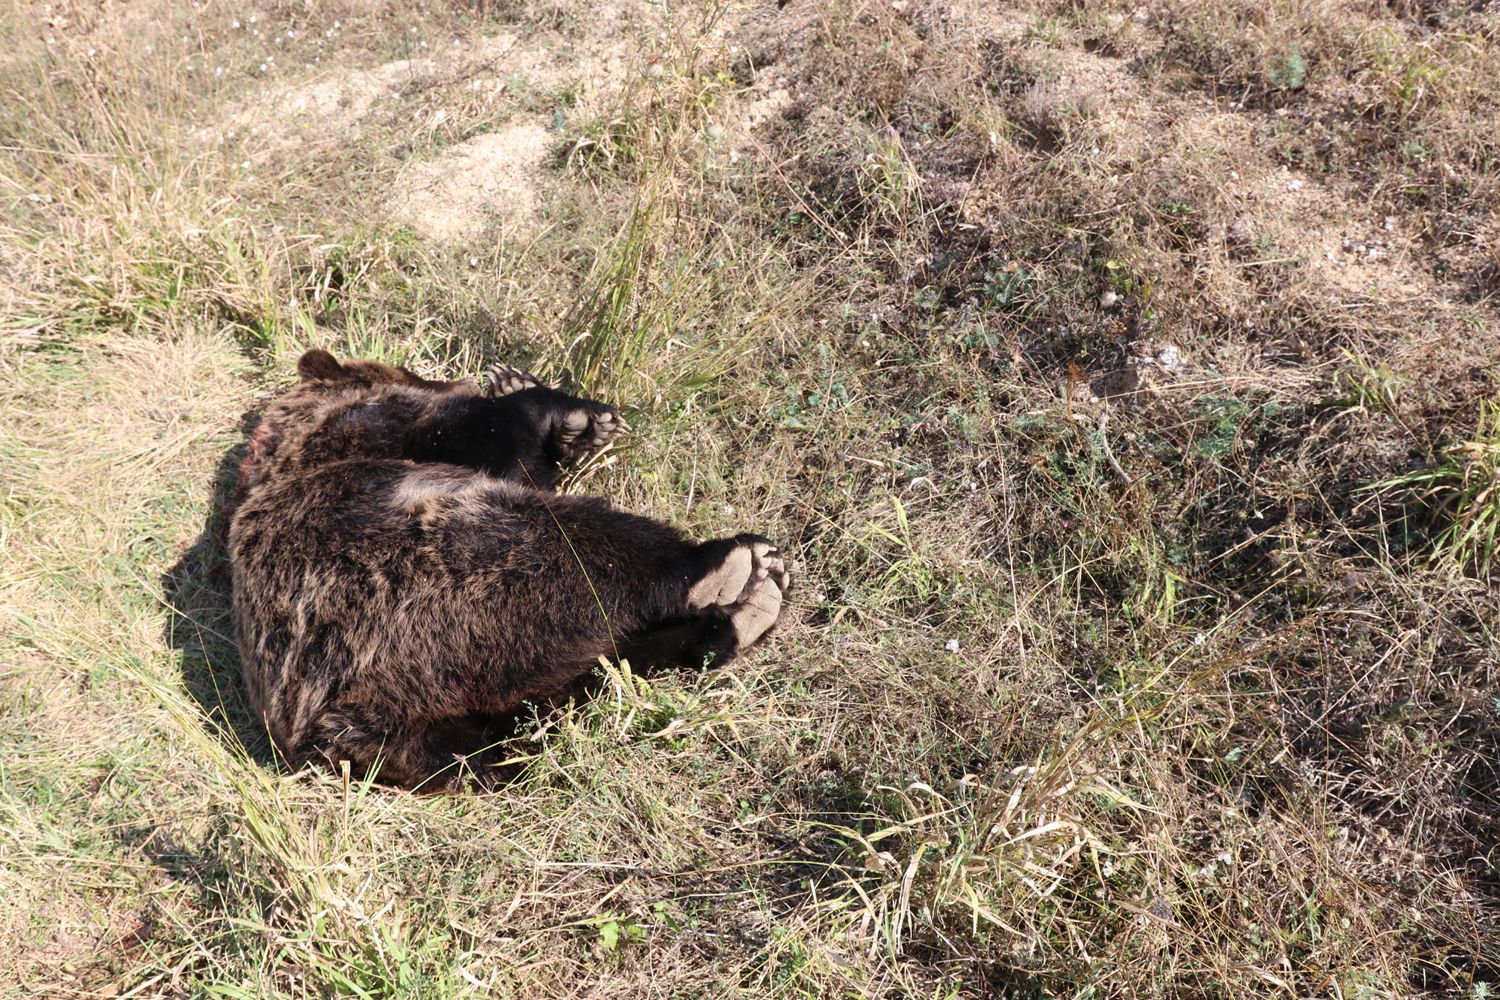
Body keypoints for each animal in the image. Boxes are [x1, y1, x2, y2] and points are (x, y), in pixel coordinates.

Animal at [225, 350, 786, 791]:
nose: (457, 378)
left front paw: (557, 414)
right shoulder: (384, 435)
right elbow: (494, 444)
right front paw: (565, 410)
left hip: (450, 704)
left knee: (562, 699)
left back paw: (734, 620)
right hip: (430, 584)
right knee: (586, 555)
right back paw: (732, 567)